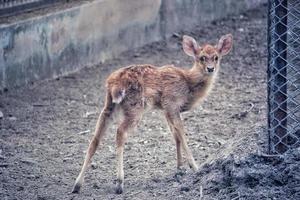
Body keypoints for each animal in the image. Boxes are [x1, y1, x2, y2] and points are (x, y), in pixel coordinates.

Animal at [72, 34, 232, 194]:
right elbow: (182, 134)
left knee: (95, 138)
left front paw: (179, 168)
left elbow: (176, 136)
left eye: (216, 57)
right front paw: (195, 167)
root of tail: (114, 83)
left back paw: (77, 185)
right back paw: (119, 183)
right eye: (201, 57)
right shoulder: (171, 103)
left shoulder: (165, 110)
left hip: (109, 106)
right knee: (120, 132)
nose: (210, 69)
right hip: (135, 107)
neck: (189, 85)